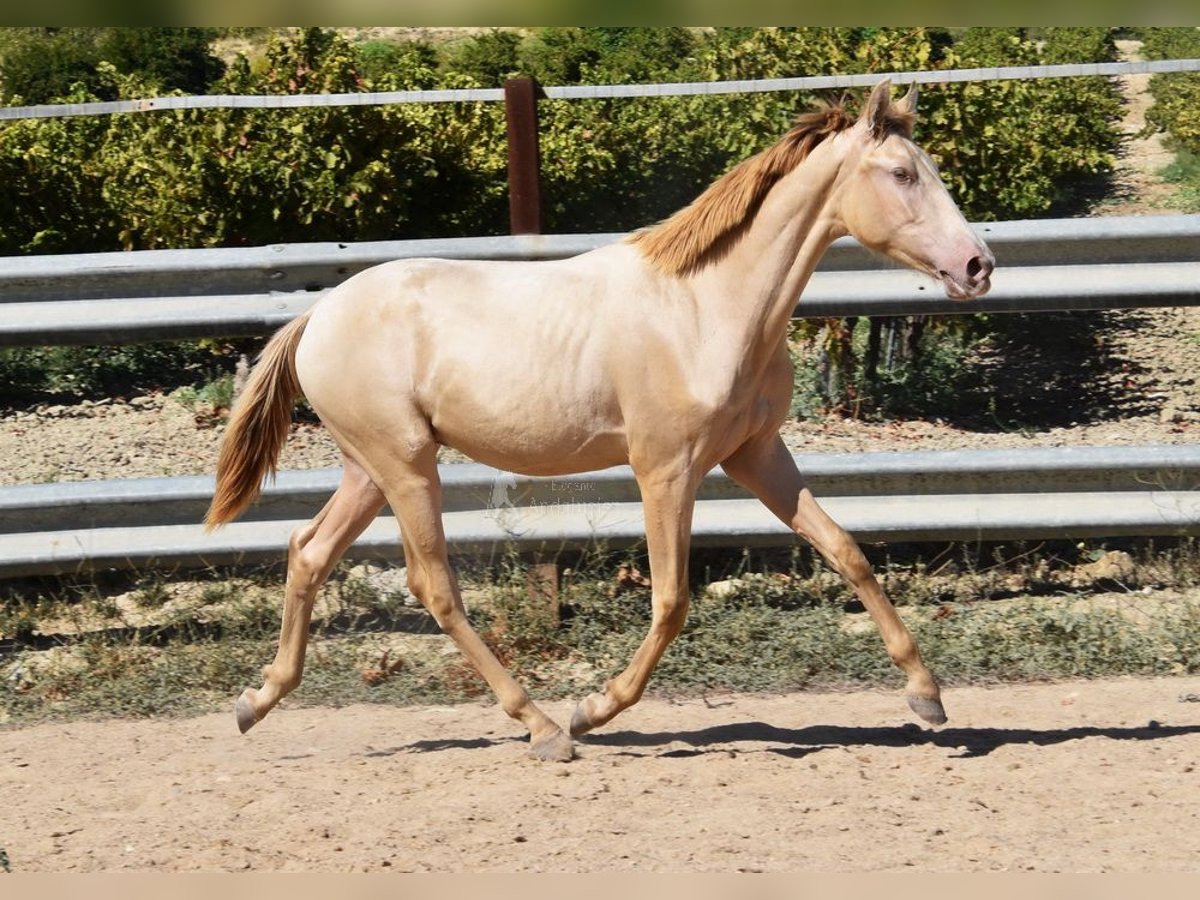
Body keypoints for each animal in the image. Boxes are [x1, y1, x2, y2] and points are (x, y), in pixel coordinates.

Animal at [206, 81, 993, 763]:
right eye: (902, 173)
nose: (978, 265)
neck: (704, 306)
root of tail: (315, 317)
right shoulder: (666, 469)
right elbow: (672, 600)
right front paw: (595, 707)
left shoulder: (755, 454)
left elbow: (846, 550)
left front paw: (928, 698)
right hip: (404, 466)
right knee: (433, 586)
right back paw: (546, 727)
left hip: (369, 470)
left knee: (308, 550)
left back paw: (254, 702)